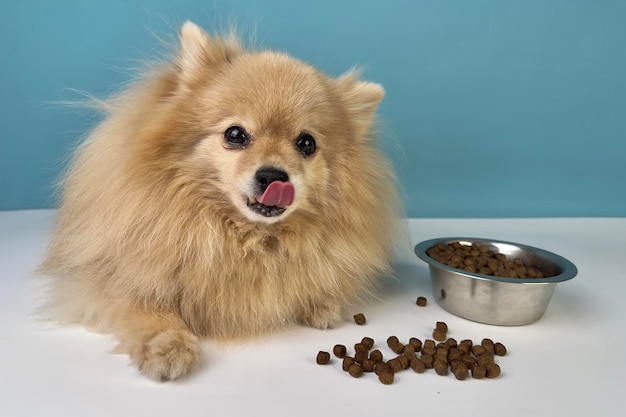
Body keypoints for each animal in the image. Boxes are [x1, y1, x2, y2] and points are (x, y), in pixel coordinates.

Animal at [40, 22, 400, 380]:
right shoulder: (105, 277)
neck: (243, 236)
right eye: (235, 134)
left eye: (307, 143)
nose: (273, 176)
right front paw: (167, 343)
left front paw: (320, 302)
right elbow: (144, 305)